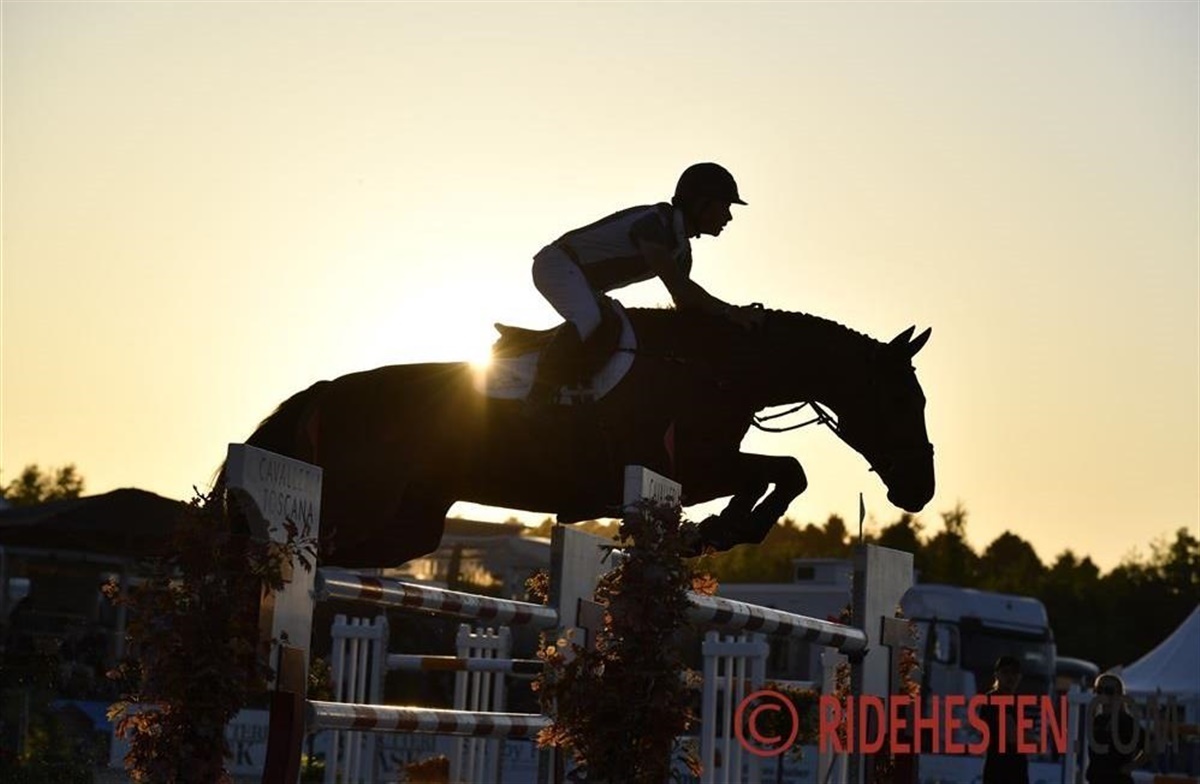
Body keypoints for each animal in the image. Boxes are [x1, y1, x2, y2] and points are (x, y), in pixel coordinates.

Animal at [230, 306, 934, 567]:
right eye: (904, 399)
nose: (920, 490)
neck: (720, 366)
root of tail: (327, 392)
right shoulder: (694, 466)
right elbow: (785, 468)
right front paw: (726, 528)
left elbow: (783, 471)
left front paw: (723, 530)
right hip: (361, 502)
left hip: (410, 523)